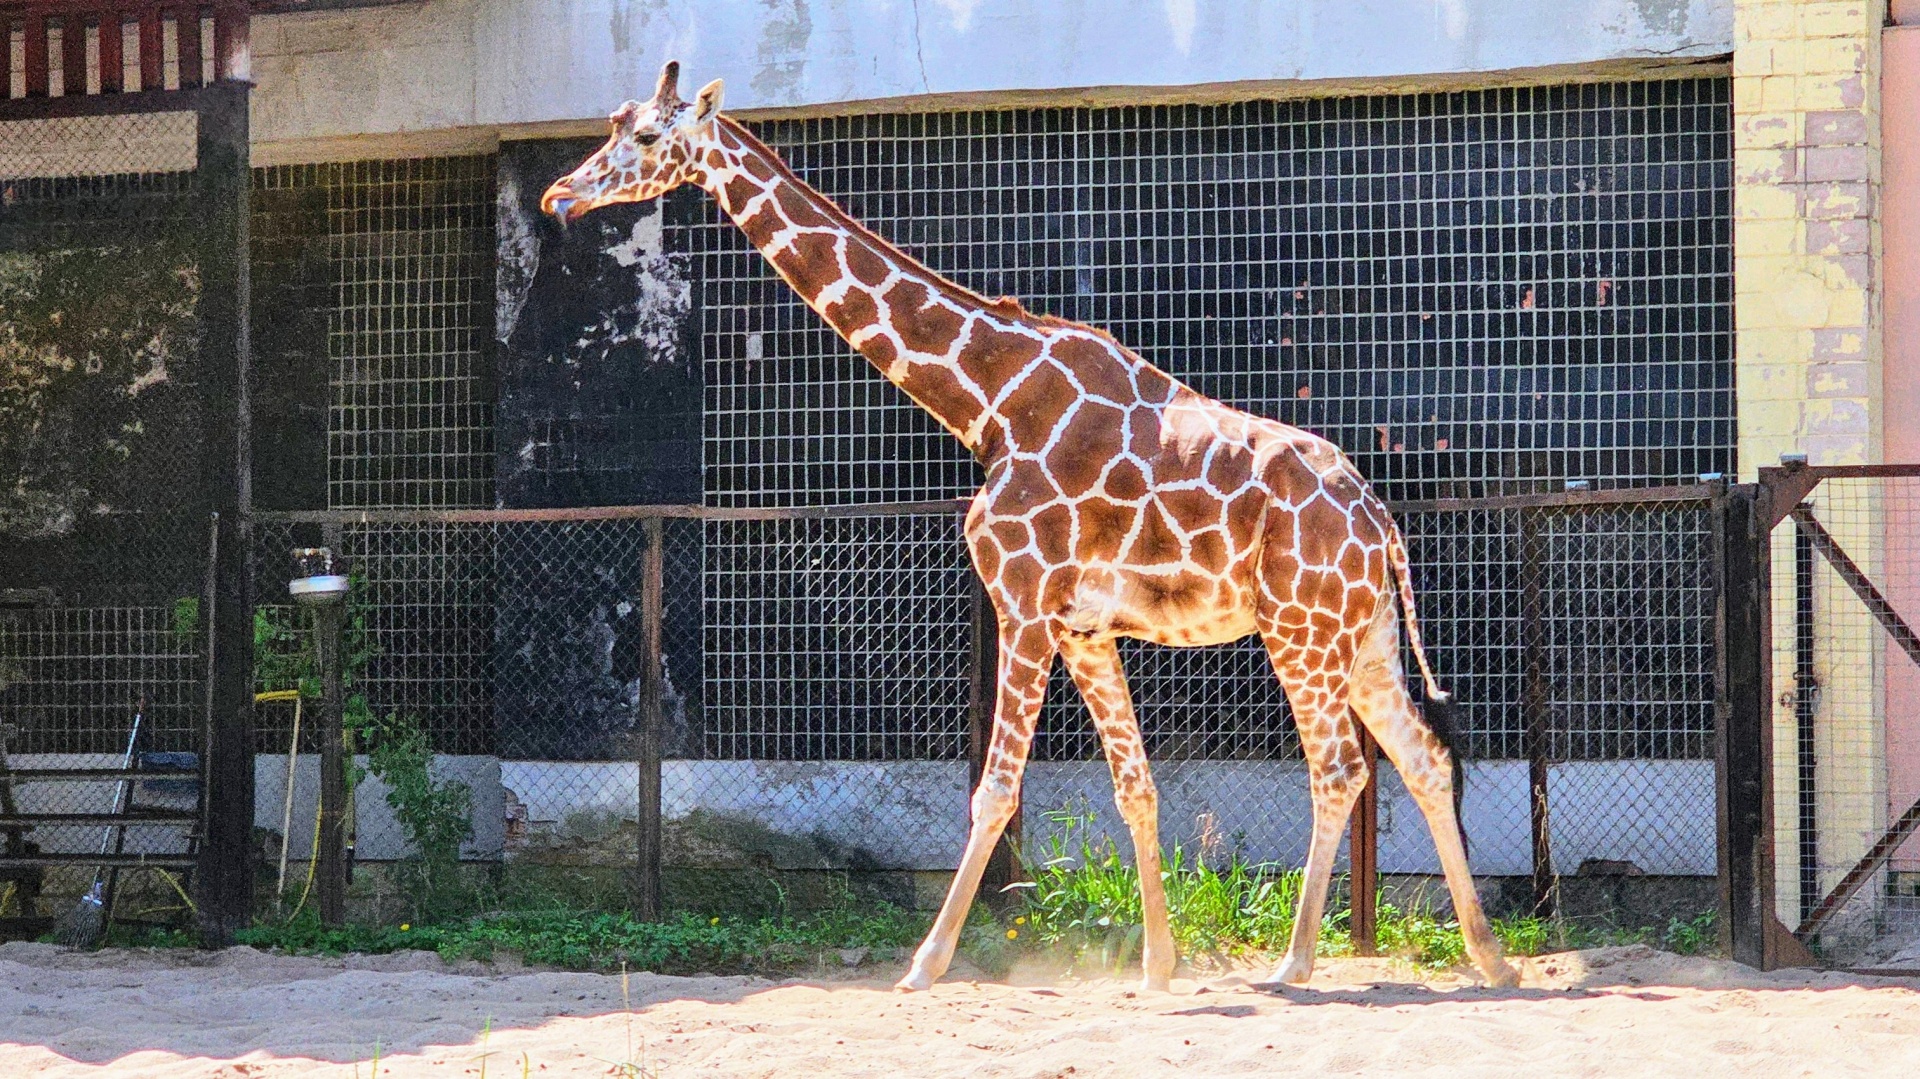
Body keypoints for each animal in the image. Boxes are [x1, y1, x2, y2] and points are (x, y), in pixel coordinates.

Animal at [549, 62, 1520, 990]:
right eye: (610, 122)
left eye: (646, 136)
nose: (561, 195)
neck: (986, 398)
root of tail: (1379, 517)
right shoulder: (1084, 626)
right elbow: (1135, 787)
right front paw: (1157, 965)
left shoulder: (1021, 600)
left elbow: (995, 791)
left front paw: (925, 962)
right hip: (1364, 637)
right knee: (1422, 758)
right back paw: (1490, 954)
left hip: (1300, 631)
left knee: (1342, 769)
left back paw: (1297, 960)